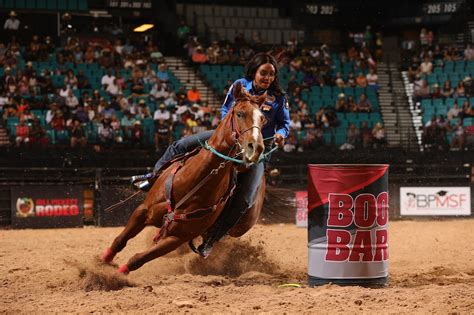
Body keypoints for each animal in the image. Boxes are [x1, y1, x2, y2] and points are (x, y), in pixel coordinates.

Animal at [100, 83, 268, 274]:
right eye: (240, 113)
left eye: (262, 119)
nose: (256, 148)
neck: (192, 183)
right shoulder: (143, 210)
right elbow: (120, 240)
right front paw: (103, 262)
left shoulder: (176, 238)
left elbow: (138, 259)